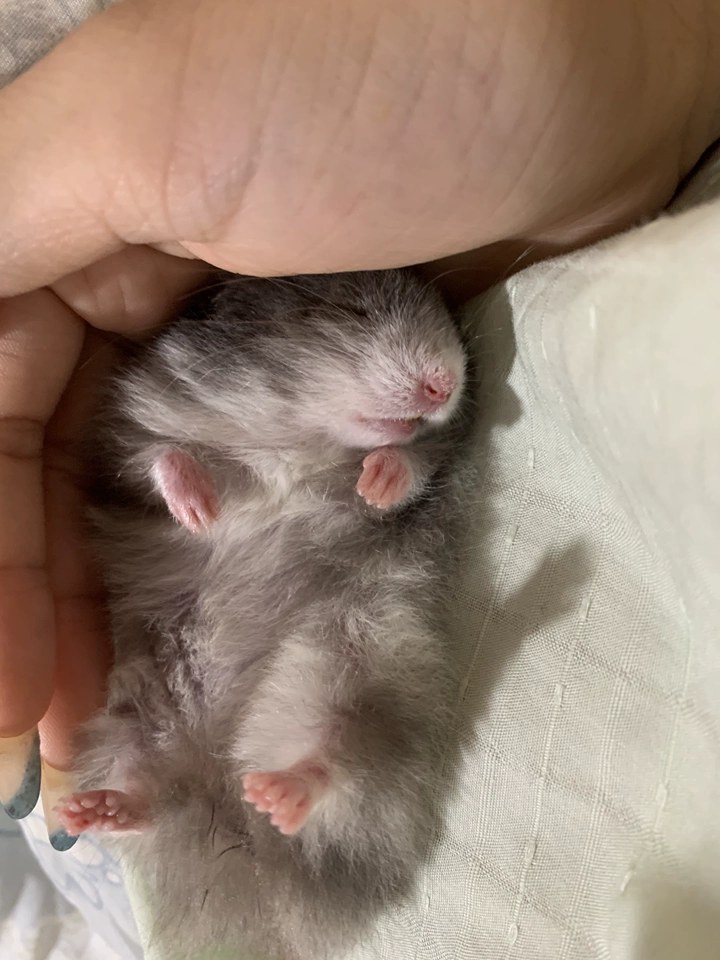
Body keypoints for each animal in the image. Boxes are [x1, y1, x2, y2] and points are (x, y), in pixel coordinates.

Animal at [61, 268, 475, 960]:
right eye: (351, 309)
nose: (446, 382)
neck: (298, 436)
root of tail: (225, 796)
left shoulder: (430, 459)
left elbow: (411, 464)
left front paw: (373, 482)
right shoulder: (126, 438)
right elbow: (160, 460)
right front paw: (198, 508)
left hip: (349, 668)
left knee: (336, 766)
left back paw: (280, 792)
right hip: (136, 719)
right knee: (151, 798)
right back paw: (93, 811)